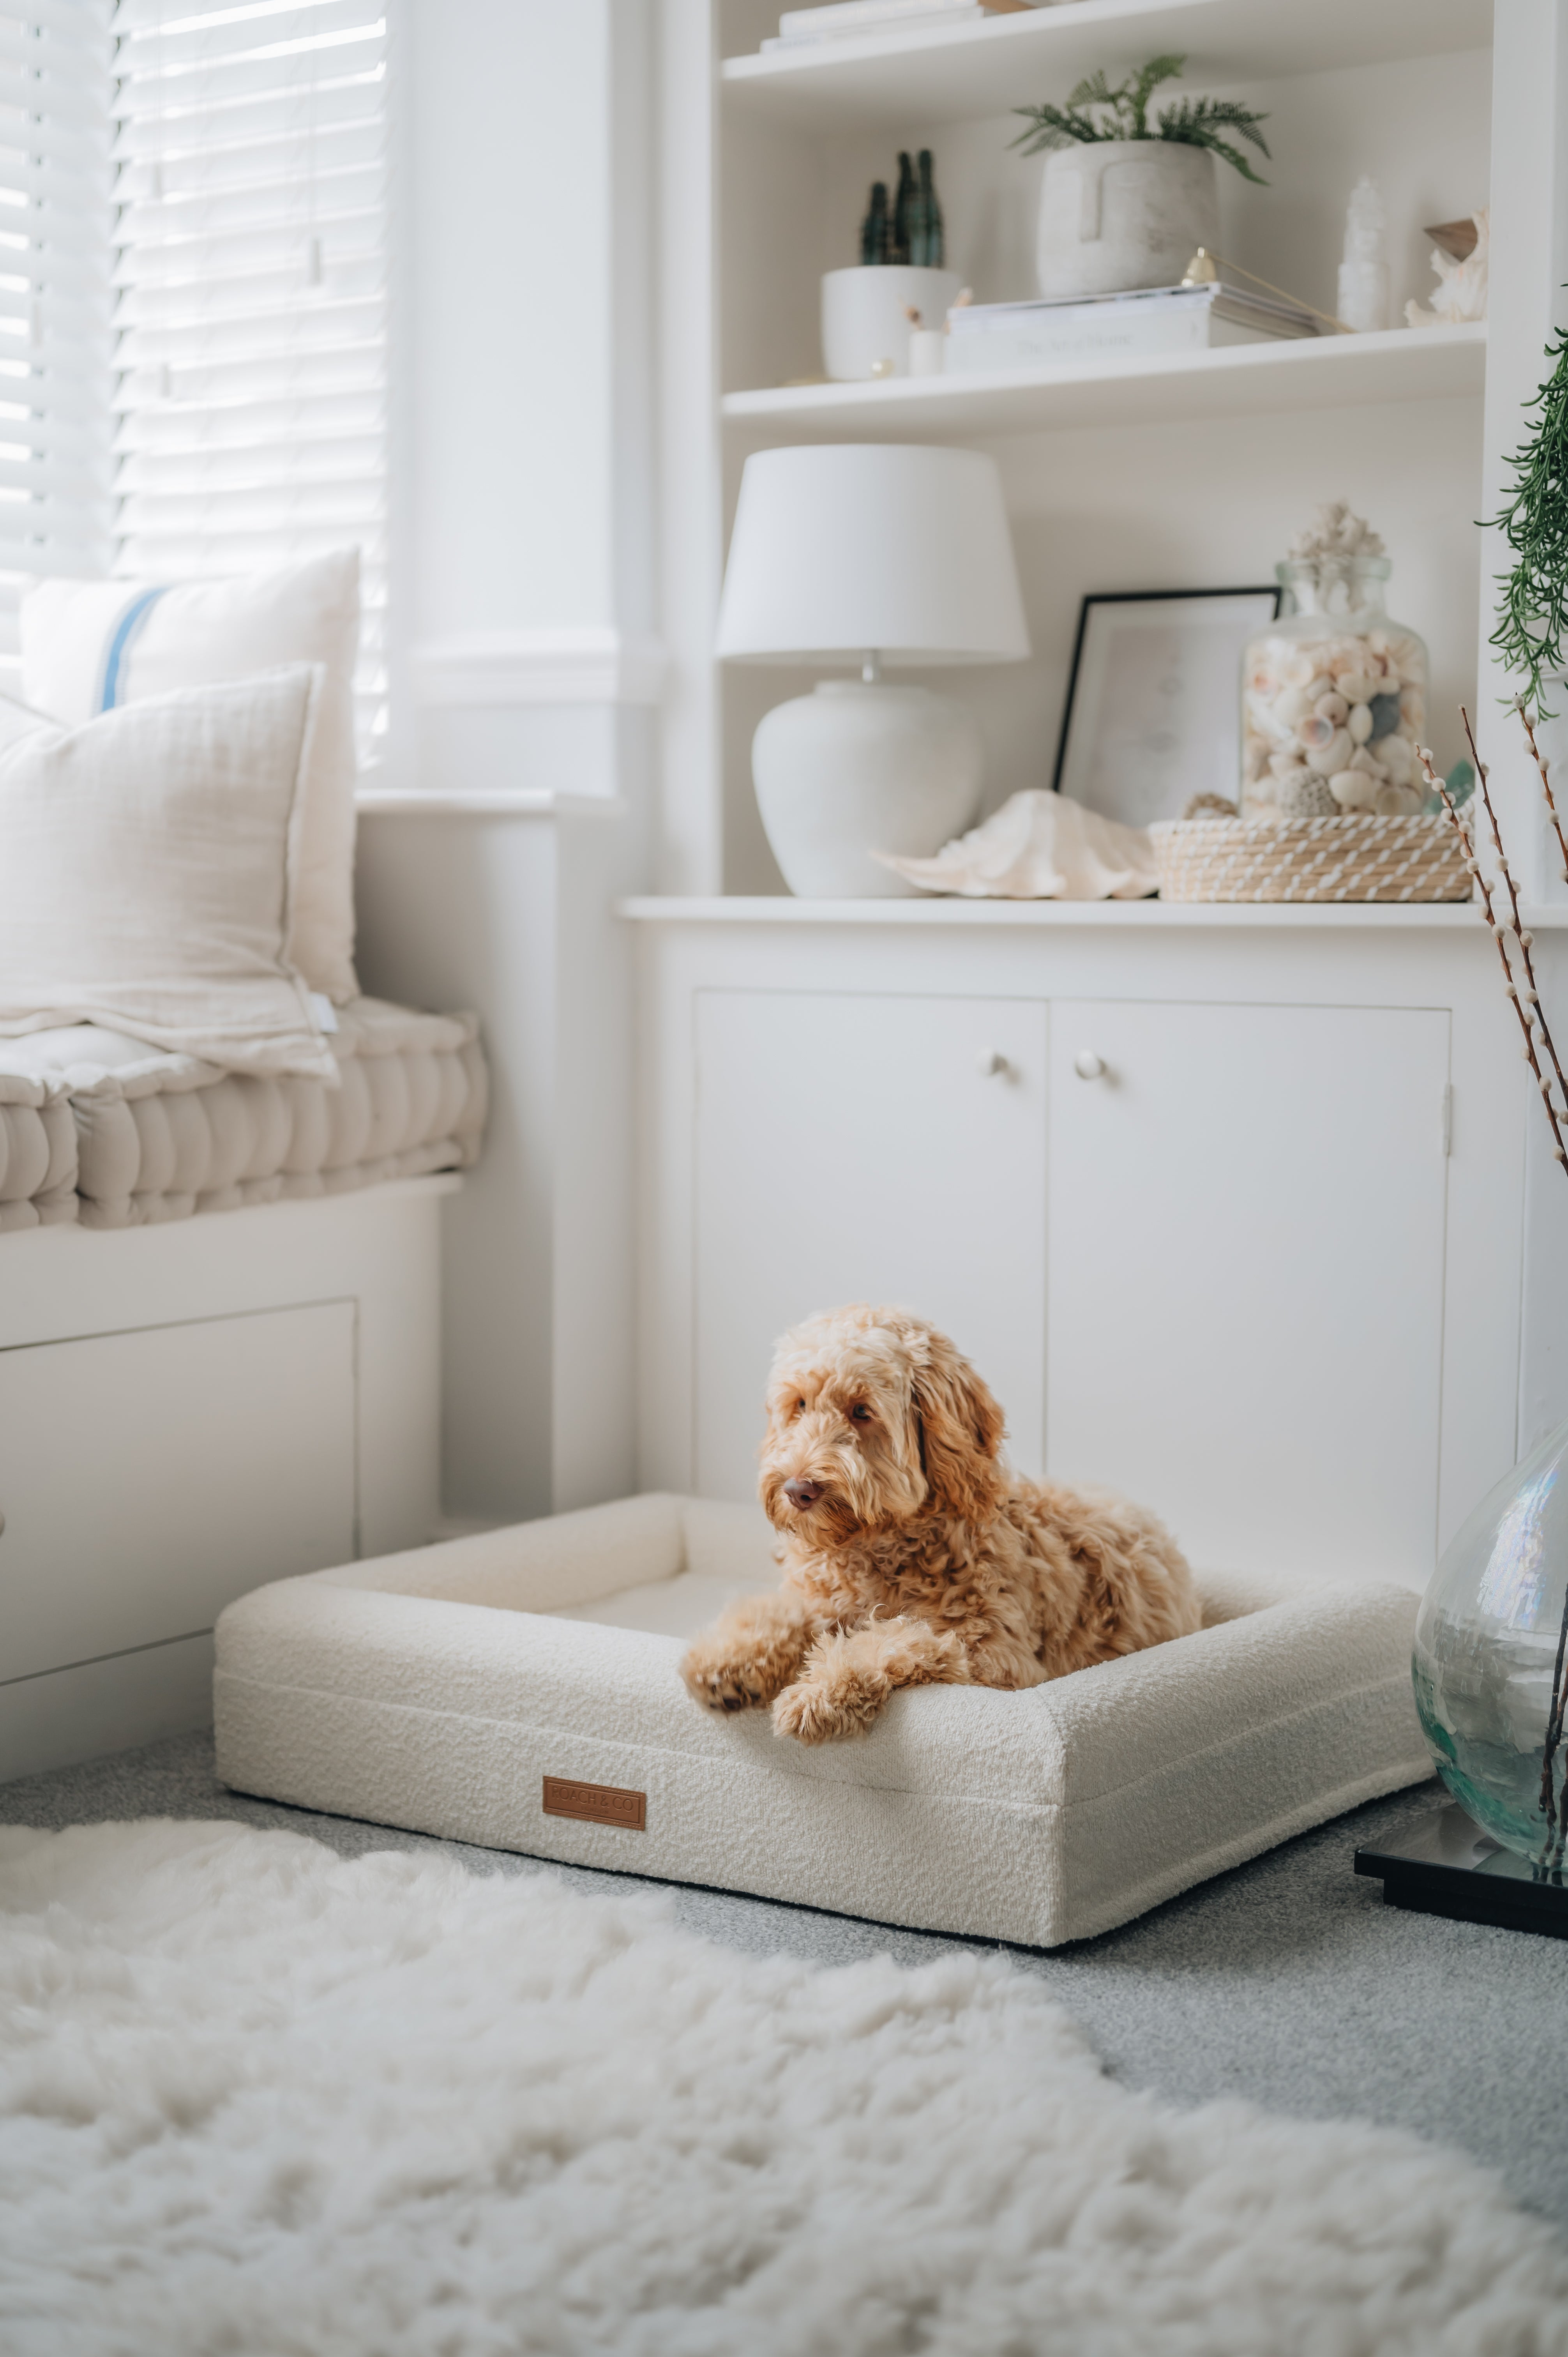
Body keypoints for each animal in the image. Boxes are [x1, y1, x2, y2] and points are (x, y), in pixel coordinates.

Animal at [674, 1310, 1197, 1753]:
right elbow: (780, 1613)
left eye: (861, 1411)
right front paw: (726, 1659)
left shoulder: (997, 1658)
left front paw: (818, 1693)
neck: (880, 1548)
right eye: (798, 1405)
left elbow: (895, 1639)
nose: (797, 1490)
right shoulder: (821, 1601)